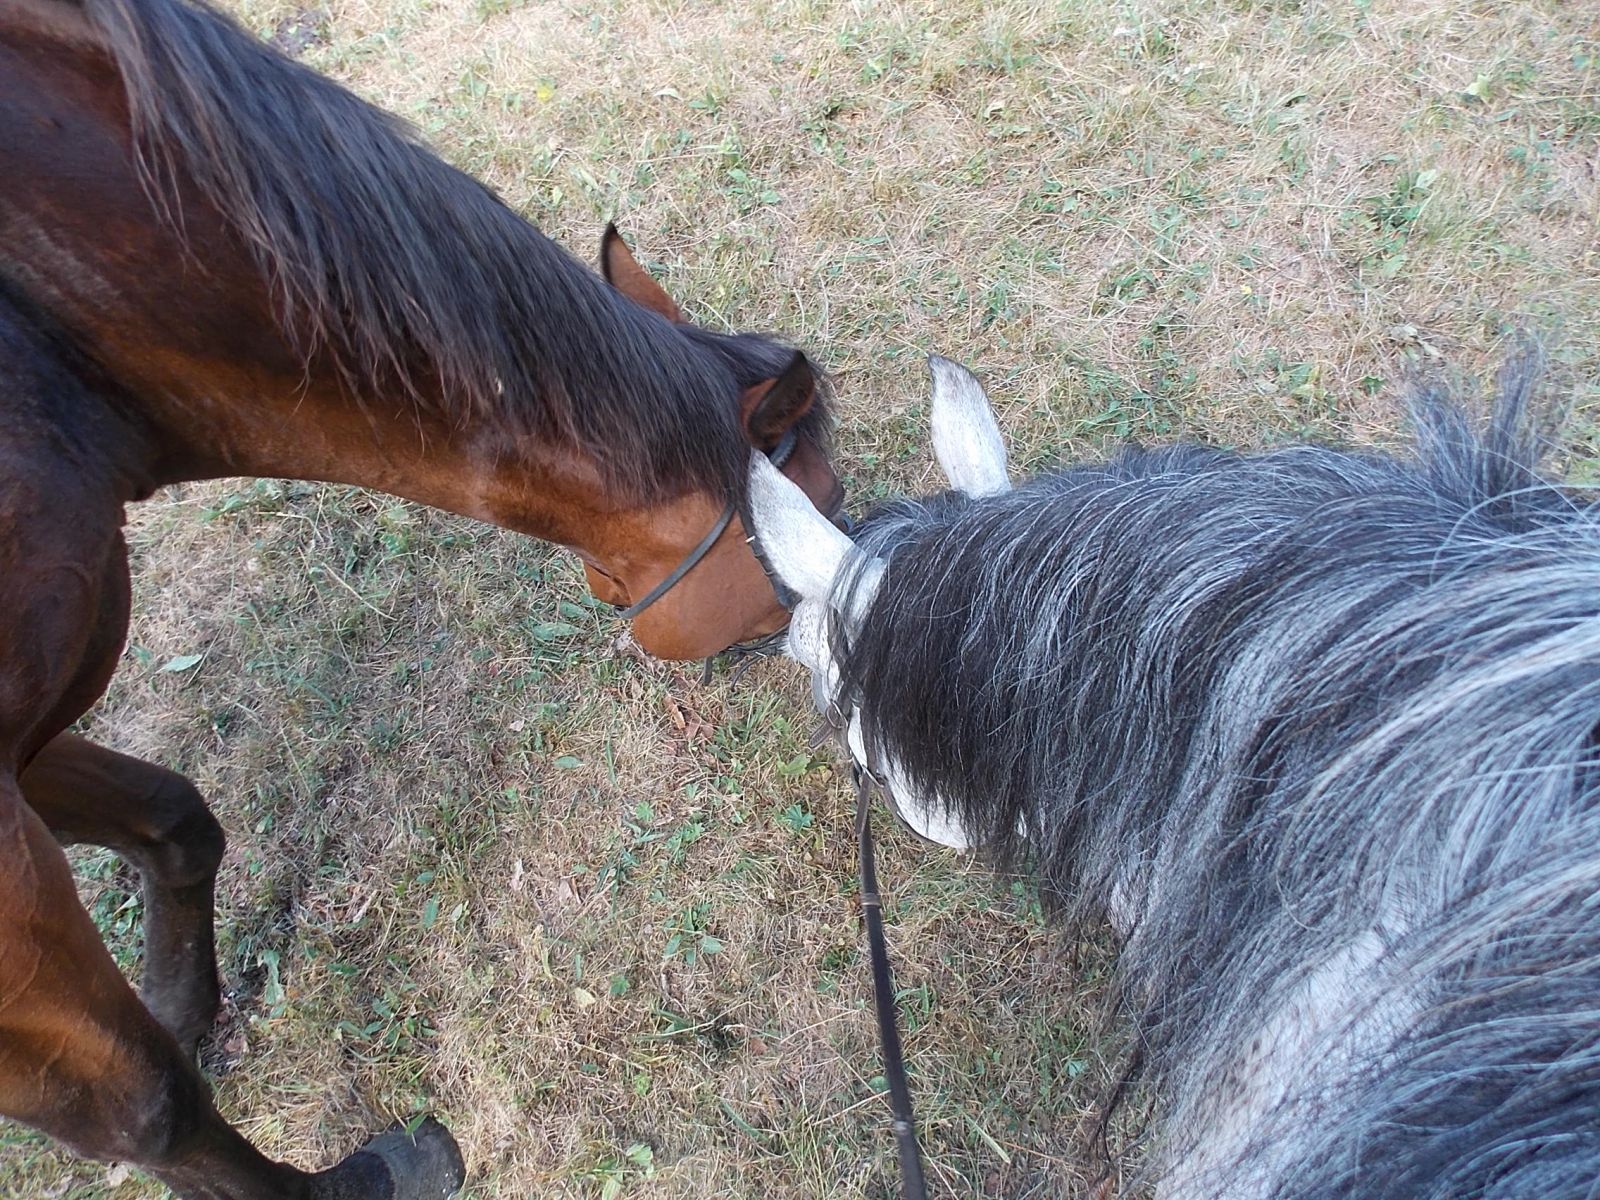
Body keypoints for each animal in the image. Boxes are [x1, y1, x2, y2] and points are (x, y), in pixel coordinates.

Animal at [0, 0, 844, 1196]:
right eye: (824, 508)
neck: (60, 336)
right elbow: (144, 1105)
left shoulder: (27, 740)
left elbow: (173, 821)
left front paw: (186, 1004)